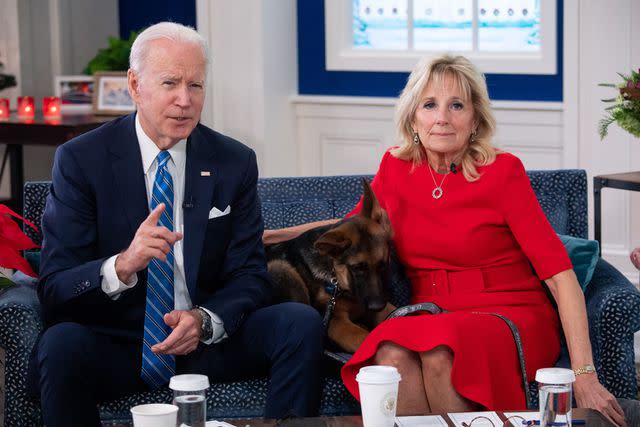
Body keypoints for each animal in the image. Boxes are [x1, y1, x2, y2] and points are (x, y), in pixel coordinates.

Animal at [264, 180, 396, 352]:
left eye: (383, 265)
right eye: (357, 268)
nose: (377, 306)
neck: (336, 278)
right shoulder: (337, 322)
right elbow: (364, 339)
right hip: (281, 268)